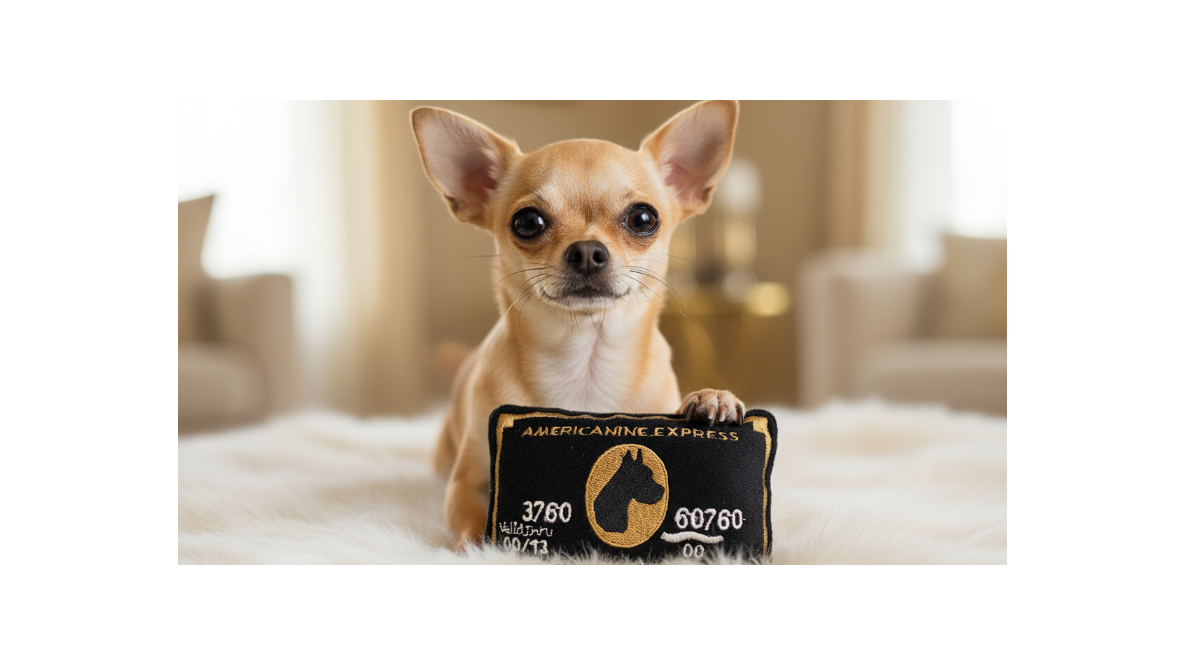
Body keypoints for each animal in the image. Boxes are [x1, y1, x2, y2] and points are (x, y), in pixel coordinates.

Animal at [410, 100, 746, 546]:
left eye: (643, 219)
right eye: (527, 222)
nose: (587, 250)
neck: (584, 361)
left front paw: (713, 398)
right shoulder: (466, 484)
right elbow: (469, 524)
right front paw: (489, 547)